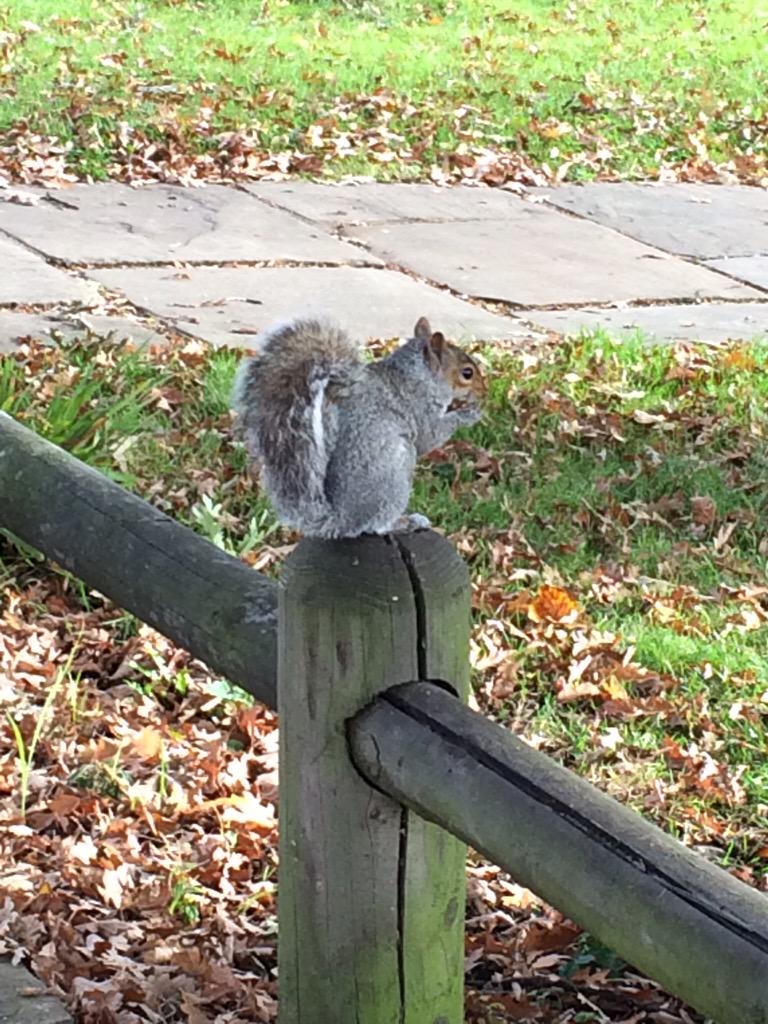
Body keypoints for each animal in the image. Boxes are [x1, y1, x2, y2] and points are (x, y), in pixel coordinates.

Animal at [231, 315, 486, 538]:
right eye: (467, 373)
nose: (485, 391)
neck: (420, 374)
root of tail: (343, 520)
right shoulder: (420, 407)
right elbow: (430, 435)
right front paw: (469, 413)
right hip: (395, 472)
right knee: (376, 525)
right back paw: (407, 522)